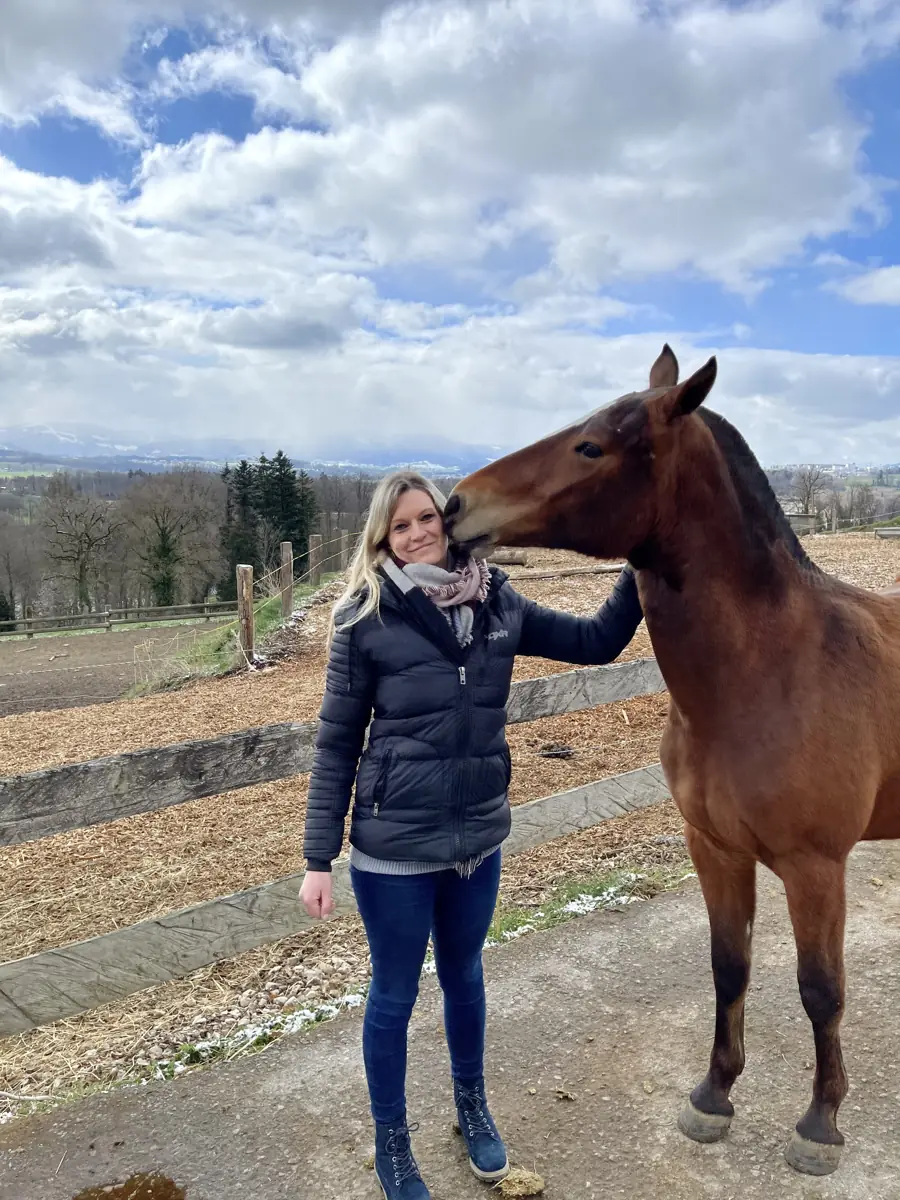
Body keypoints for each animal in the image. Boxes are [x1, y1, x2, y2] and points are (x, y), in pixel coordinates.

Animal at [444, 345, 900, 1176]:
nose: (457, 505)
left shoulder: (817, 867)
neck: (770, 671)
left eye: (591, 446)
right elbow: (730, 966)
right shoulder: (715, 849)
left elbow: (821, 989)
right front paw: (714, 1096)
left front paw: (820, 1123)